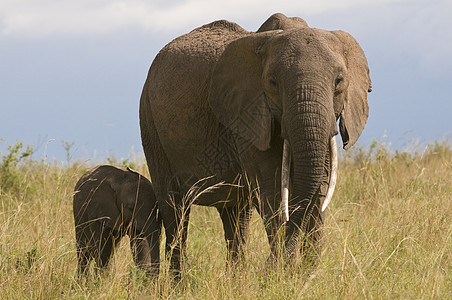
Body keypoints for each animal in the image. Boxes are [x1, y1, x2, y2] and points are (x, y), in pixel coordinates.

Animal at [139, 12, 370, 274]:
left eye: (339, 81)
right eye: (272, 82)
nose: (265, 268)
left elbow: (318, 192)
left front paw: (305, 276)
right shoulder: (248, 115)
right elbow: (272, 193)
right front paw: (282, 275)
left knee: (236, 217)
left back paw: (235, 279)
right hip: (149, 121)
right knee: (175, 209)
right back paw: (181, 281)